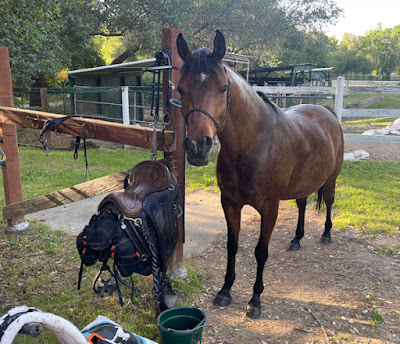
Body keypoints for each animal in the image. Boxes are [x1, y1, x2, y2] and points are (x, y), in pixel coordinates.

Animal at [177, 30, 346, 318]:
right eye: (180, 88)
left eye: (223, 88)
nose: (198, 146)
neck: (254, 145)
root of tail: (327, 112)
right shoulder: (230, 203)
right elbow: (232, 245)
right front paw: (225, 291)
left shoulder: (269, 208)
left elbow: (260, 252)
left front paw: (255, 299)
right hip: (302, 184)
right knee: (302, 204)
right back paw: (297, 239)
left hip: (331, 179)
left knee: (329, 202)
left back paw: (326, 235)